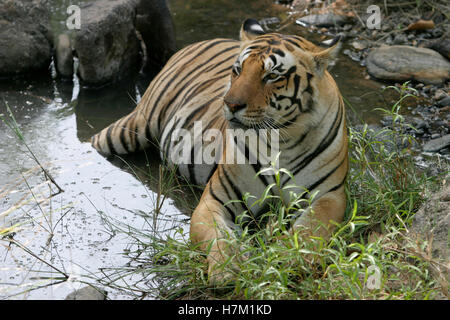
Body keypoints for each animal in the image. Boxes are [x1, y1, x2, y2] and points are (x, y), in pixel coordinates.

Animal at [91, 18, 348, 282]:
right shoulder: (215, 199)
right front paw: (228, 269)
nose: (231, 104)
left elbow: (309, 232)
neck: (282, 139)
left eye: (272, 75)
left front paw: (287, 259)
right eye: (238, 70)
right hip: (130, 129)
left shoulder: (329, 197)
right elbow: (219, 235)